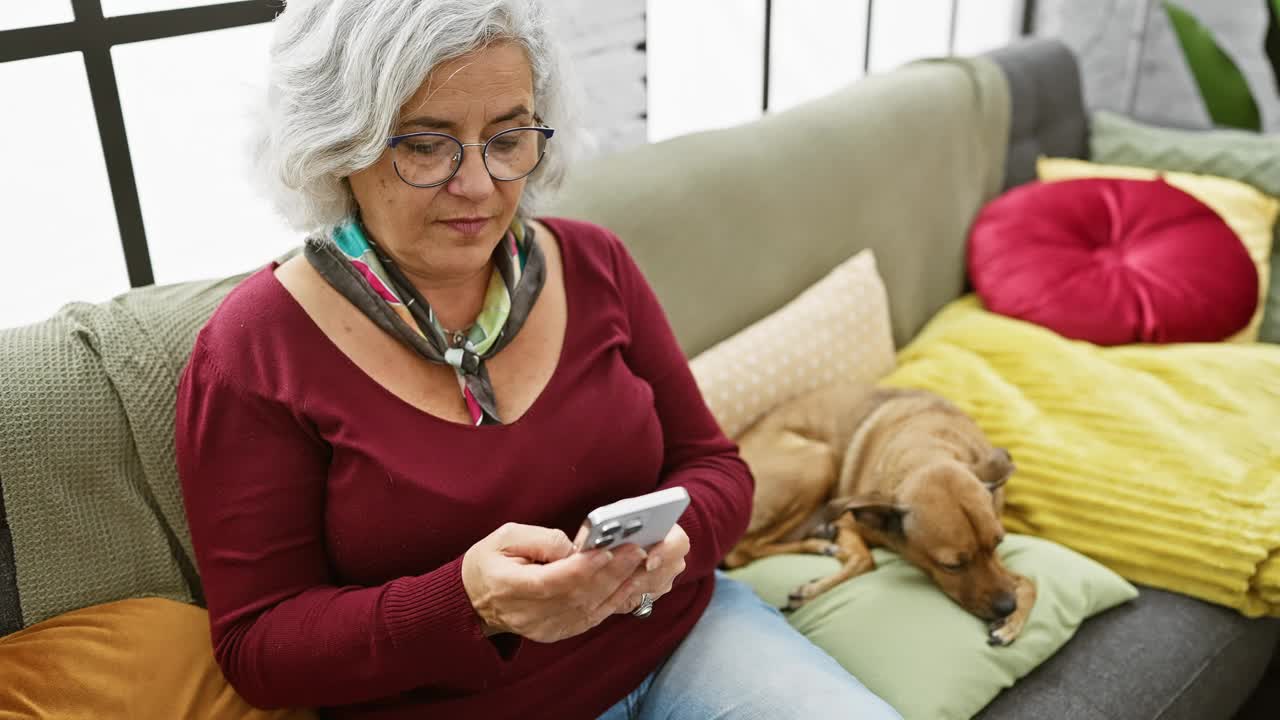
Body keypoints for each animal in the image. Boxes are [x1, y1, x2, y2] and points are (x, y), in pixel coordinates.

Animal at [727, 384, 1034, 640]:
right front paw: (813, 590)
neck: (928, 451)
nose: (1007, 607)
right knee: (741, 551)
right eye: (951, 566)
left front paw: (1012, 624)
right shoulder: (847, 519)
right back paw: (819, 543)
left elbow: (1030, 581)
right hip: (818, 460)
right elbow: (865, 560)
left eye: (998, 543)